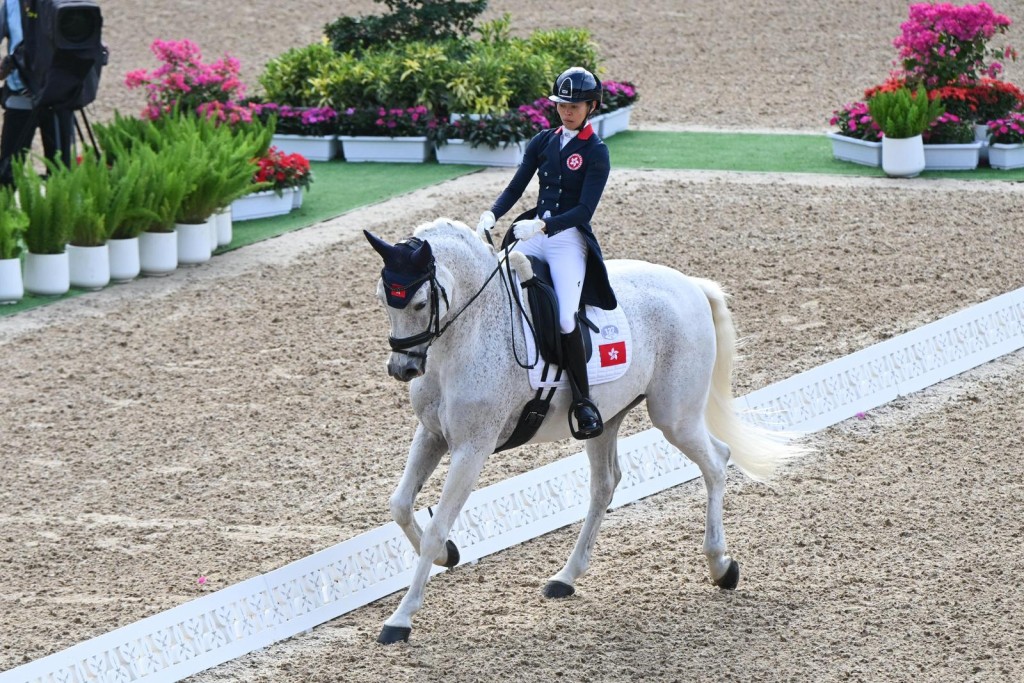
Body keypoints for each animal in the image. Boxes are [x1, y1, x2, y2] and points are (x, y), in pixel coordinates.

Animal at [364, 218, 804, 644]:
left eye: (420, 303)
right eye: (383, 299)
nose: (402, 369)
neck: (468, 332)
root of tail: (691, 285)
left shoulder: (472, 448)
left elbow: (437, 528)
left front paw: (401, 618)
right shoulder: (433, 434)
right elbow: (399, 504)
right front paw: (448, 556)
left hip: (675, 417)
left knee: (716, 461)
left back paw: (721, 567)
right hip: (606, 419)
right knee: (605, 485)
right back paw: (566, 577)